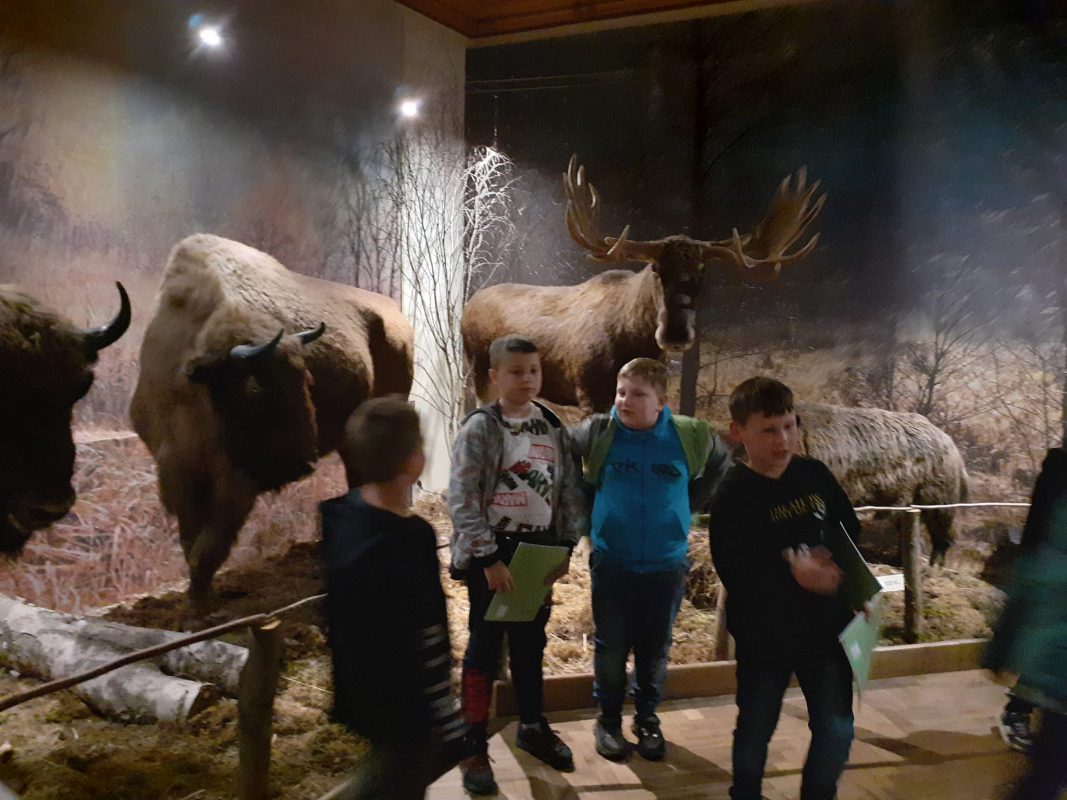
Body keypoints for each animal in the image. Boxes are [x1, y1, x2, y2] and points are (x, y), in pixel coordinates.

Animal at [130, 234, 414, 614]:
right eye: (257, 388)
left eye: (306, 379)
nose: (303, 464)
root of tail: (394, 313)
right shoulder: (177, 471)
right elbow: (193, 542)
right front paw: (197, 601)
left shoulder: (236, 481)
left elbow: (211, 544)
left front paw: (201, 606)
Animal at [461, 155, 826, 412]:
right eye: (655, 267)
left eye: (703, 270)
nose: (676, 333)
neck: (633, 343)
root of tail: (468, 305)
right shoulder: (589, 391)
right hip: (479, 371)